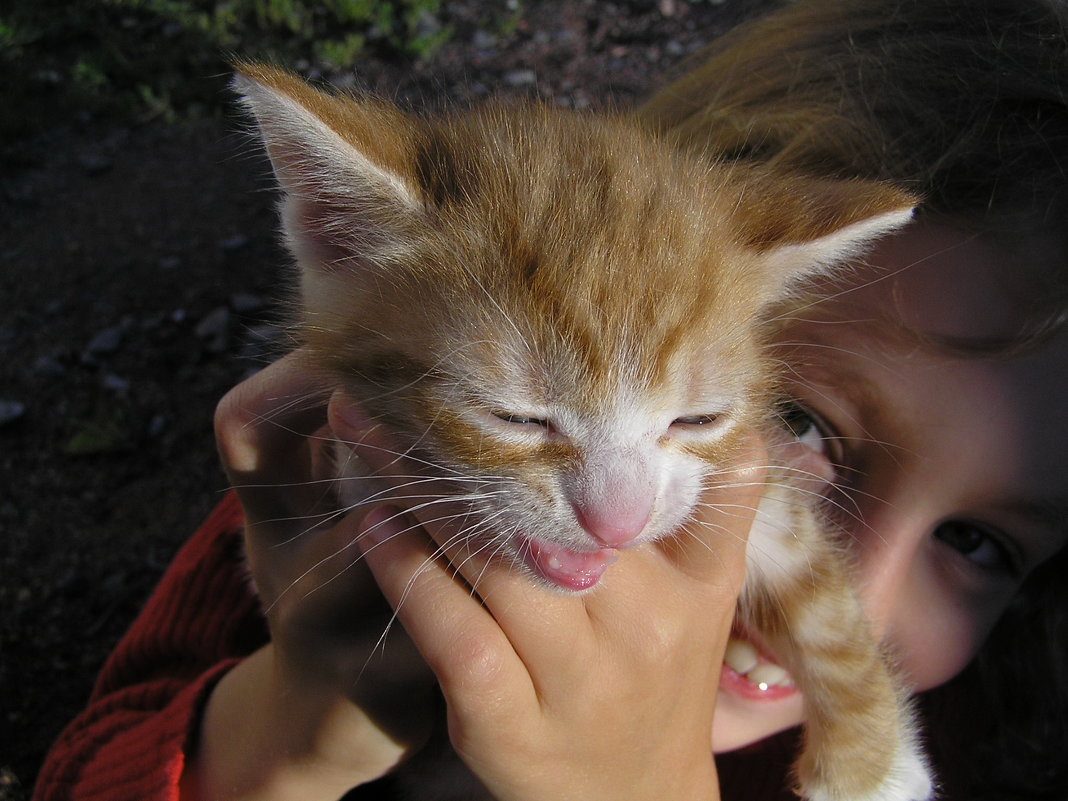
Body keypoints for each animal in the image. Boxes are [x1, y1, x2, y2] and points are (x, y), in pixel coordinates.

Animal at [236, 64, 935, 801]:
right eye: (514, 417)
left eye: (697, 419)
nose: (616, 524)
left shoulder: (747, 470)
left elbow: (817, 588)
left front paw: (872, 765)